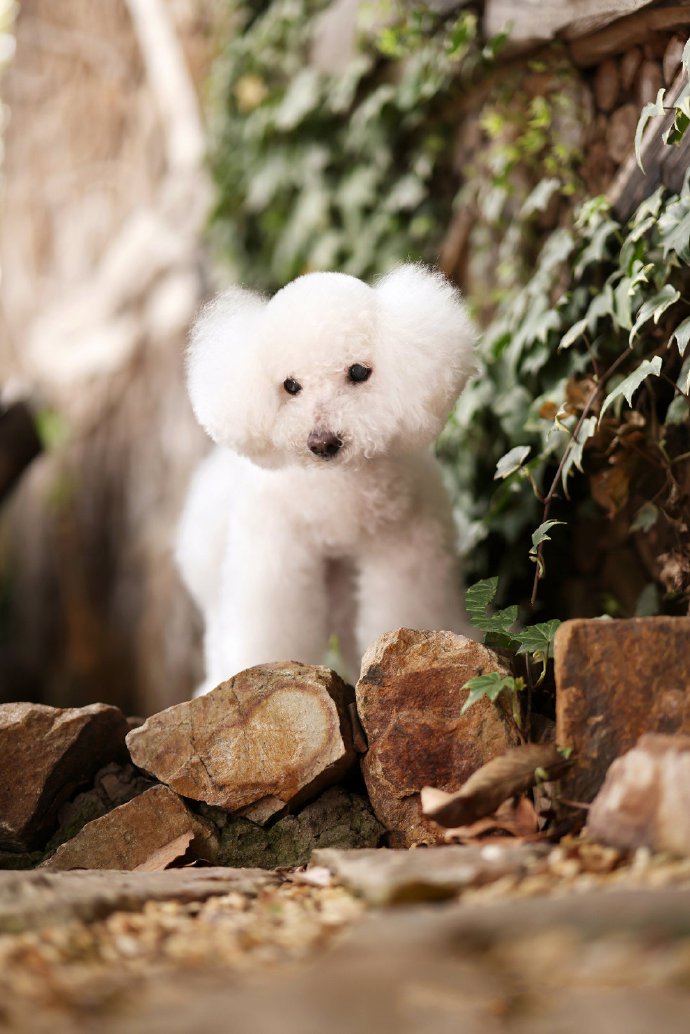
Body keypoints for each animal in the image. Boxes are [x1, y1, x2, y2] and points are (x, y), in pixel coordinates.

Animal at [176, 264, 475, 694]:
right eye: (290, 385)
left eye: (358, 372)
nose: (322, 442)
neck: (338, 488)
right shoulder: (276, 551)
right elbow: (270, 622)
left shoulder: (403, 545)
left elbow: (404, 605)